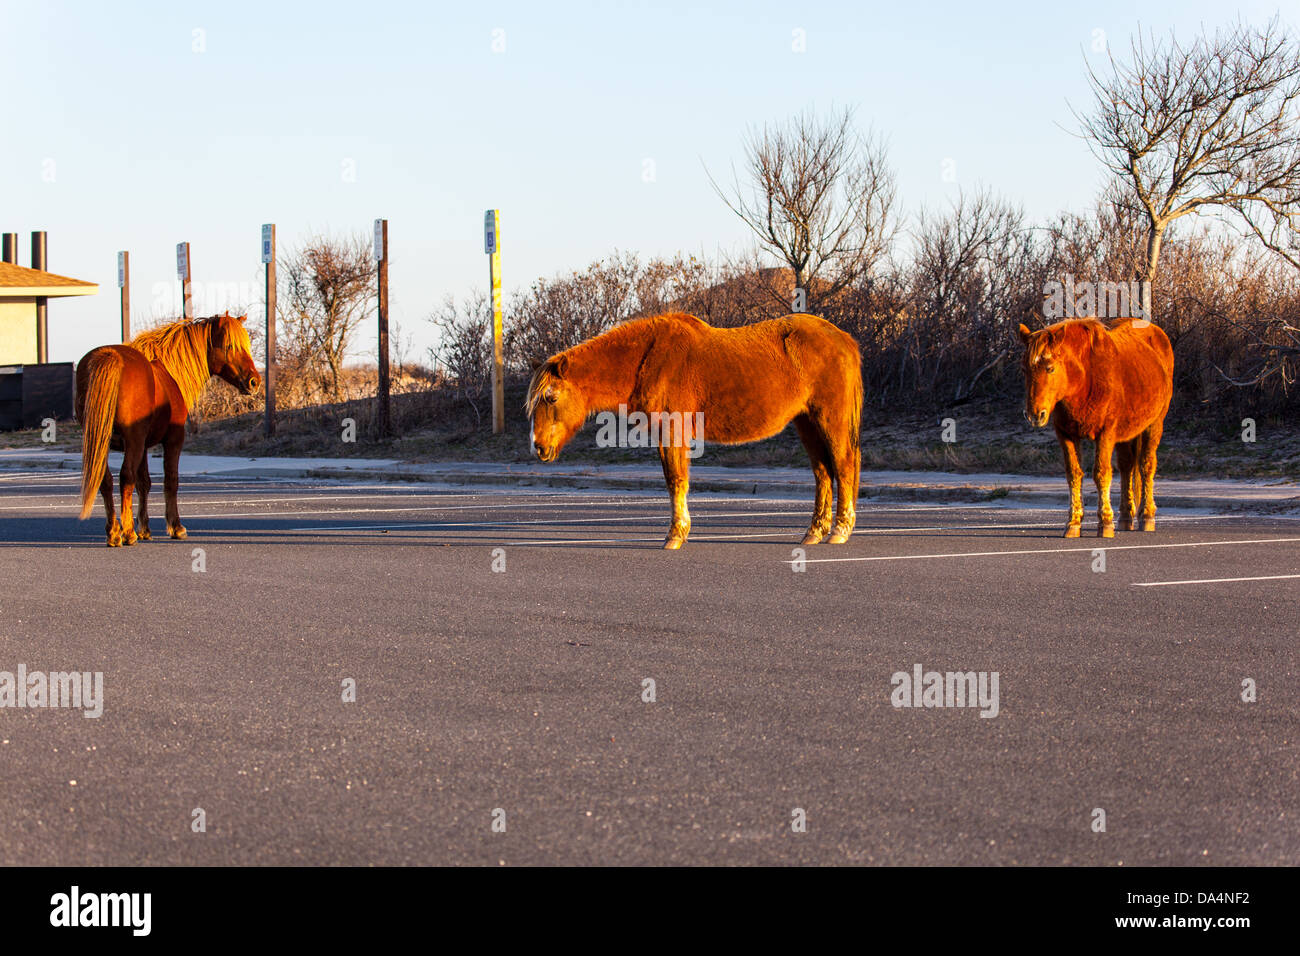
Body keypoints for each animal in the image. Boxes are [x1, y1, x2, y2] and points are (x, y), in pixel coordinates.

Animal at [76, 314, 261, 546]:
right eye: (230, 346)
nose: (254, 381)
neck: (168, 371)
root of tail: (109, 357)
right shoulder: (172, 440)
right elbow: (170, 480)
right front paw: (176, 527)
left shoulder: (143, 446)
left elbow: (144, 483)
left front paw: (145, 529)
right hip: (132, 441)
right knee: (125, 477)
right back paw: (128, 533)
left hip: (103, 441)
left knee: (106, 480)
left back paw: (114, 532)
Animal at [527, 312, 863, 548]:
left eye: (551, 397)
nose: (538, 447)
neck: (649, 358)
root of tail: (843, 339)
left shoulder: (672, 430)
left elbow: (676, 480)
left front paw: (675, 535)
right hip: (807, 421)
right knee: (822, 472)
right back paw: (814, 531)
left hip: (829, 418)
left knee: (844, 465)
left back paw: (840, 530)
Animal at [1013, 319, 1180, 538]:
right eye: (1024, 370)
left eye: (1050, 368)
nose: (1034, 414)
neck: (1084, 379)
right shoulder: (1065, 434)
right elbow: (1074, 474)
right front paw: (1073, 522)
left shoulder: (1105, 434)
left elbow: (1102, 473)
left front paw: (1105, 522)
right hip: (1126, 433)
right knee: (1127, 467)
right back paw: (1126, 517)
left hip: (1154, 424)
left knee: (1146, 465)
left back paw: (1147, 515)